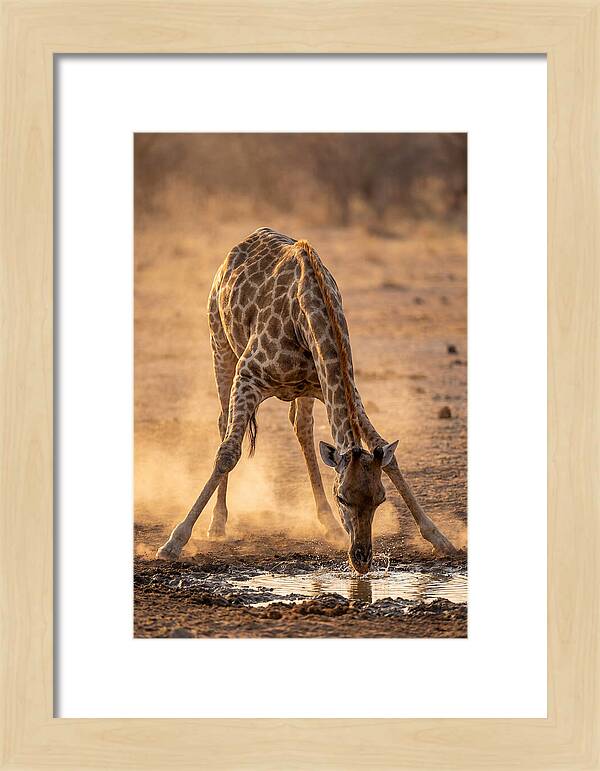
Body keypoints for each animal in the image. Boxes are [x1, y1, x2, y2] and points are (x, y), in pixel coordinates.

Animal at [156, 227, 457, 571]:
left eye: (380, 499)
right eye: (343, 497)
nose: (362, 559)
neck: (308, 315)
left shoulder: (338, 386)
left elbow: (387, 455)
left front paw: (440, 538)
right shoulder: (248, 376)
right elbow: (228, 454)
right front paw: (174, 541)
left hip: (303, 390)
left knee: (302, 427)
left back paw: (327, 523)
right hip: (220, 345)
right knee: (223, 424)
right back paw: (217, 524)